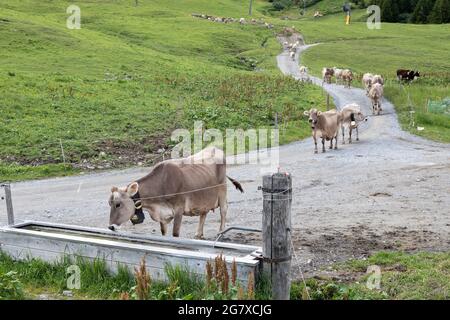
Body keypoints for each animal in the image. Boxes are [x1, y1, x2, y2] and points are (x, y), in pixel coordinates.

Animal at [107, 146, 244, 239]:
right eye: (109, 204)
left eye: (118, 204)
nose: (110, 227)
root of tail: (215, 148)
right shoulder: (163, 216)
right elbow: (164, 233)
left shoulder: (179, 209)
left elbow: (175, 233)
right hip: (204, 197)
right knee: (203, 213)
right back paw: (198, 234)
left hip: (222, 190)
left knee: (223, 210)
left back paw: (220, 232)